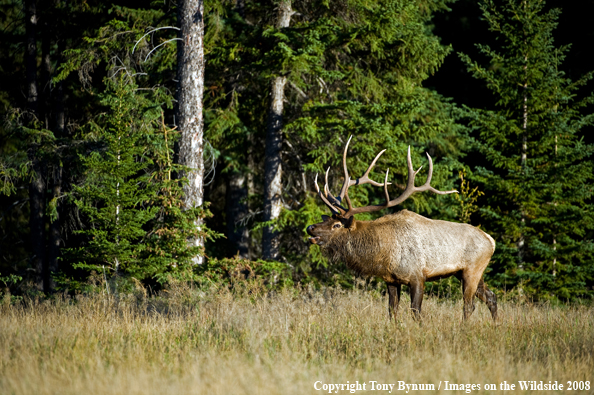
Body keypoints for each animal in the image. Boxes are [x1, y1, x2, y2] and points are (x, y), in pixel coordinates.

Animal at [306, 137, 494, 322]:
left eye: (336, 225)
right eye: (328, 220)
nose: (310, 227)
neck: (383, 253)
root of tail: (491, 241)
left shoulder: (417, 276)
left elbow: (416, 311)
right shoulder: (391, 280)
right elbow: (392, 311)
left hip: (472, 269)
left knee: (469, 305)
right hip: (466, 272)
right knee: (491, 296)